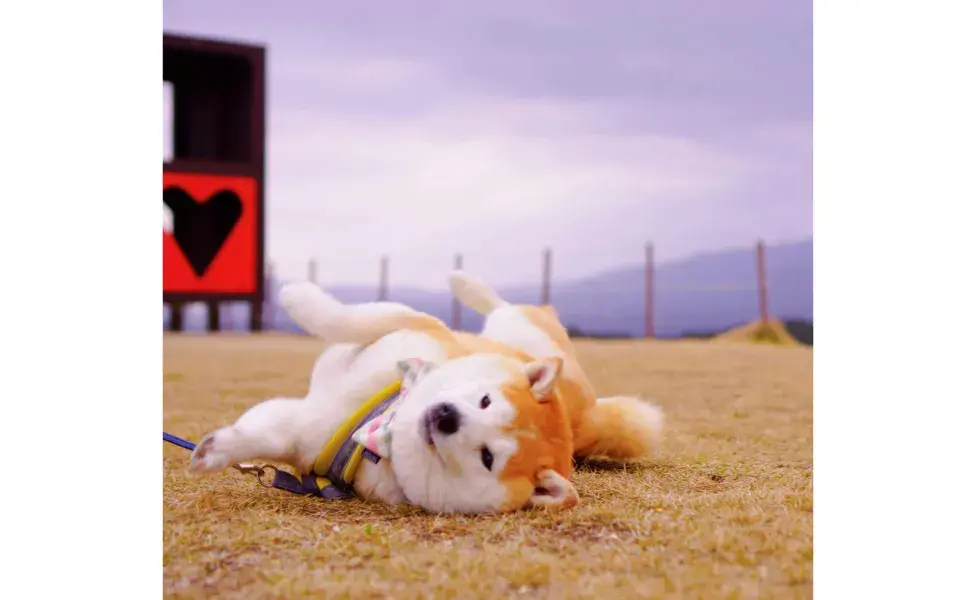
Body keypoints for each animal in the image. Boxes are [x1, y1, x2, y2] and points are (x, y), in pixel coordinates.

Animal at [189, 270, 664, 512]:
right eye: (485, 400)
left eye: (487, 457)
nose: (446, 416)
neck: (382, 425)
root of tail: (588, 413)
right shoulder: (415, 326)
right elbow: (348, 318)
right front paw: (297, 295)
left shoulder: (308, 435)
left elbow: (269, 432)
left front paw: (212, 451)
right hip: (520, 334)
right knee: (506, 307)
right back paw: (464, 281)